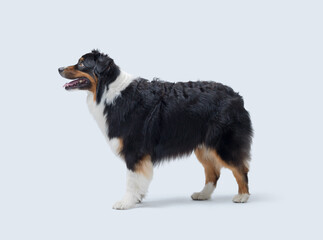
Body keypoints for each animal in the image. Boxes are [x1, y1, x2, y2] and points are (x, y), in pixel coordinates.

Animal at [58, 49, 256, 209]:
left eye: (82, 63)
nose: (59, 69)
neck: (108, 91)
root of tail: (237, 96)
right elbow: (138, 180)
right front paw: (137, 198)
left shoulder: (134, 149)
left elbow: (131, 179)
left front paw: (125, 202)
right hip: (204, 145)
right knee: (213, 172)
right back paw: (203, 194)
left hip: (223, 144)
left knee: (241, 168)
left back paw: (242, 196)